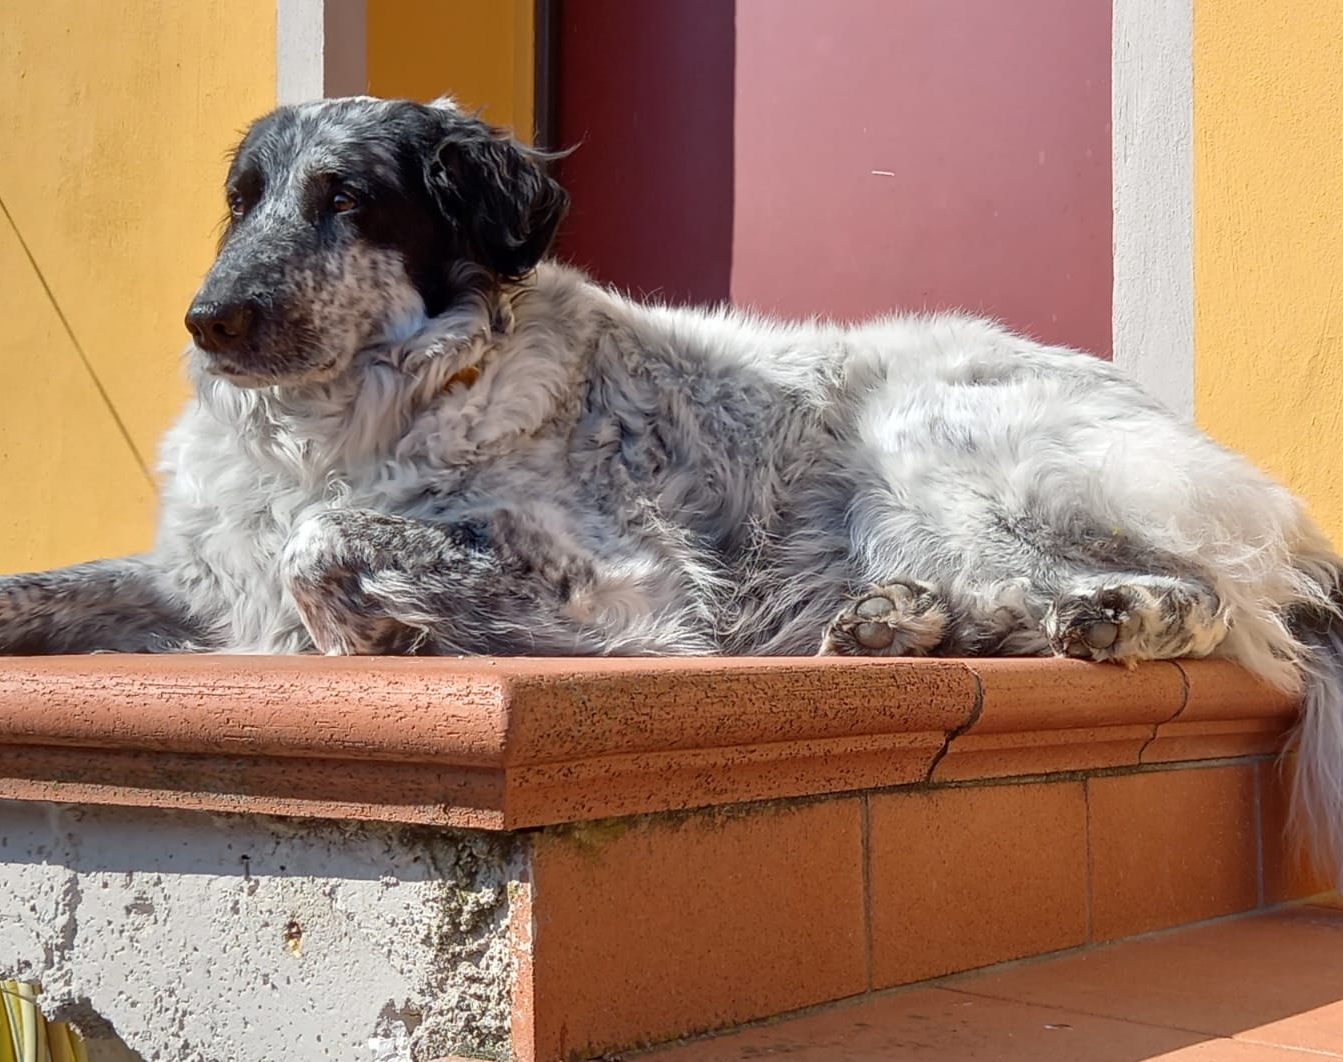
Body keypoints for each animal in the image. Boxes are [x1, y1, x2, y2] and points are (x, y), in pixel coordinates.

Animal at [2, 95, 1342, 877]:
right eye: (243, 202)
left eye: (345, 198)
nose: (211, 319)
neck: (342, 420)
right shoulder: (200, 578)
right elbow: (52, 585)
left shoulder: (627, 581)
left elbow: (328, 544)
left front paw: (397, 632)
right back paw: (896, 625)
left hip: (926, 443)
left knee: (1195, 602)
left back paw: (1100, 617)